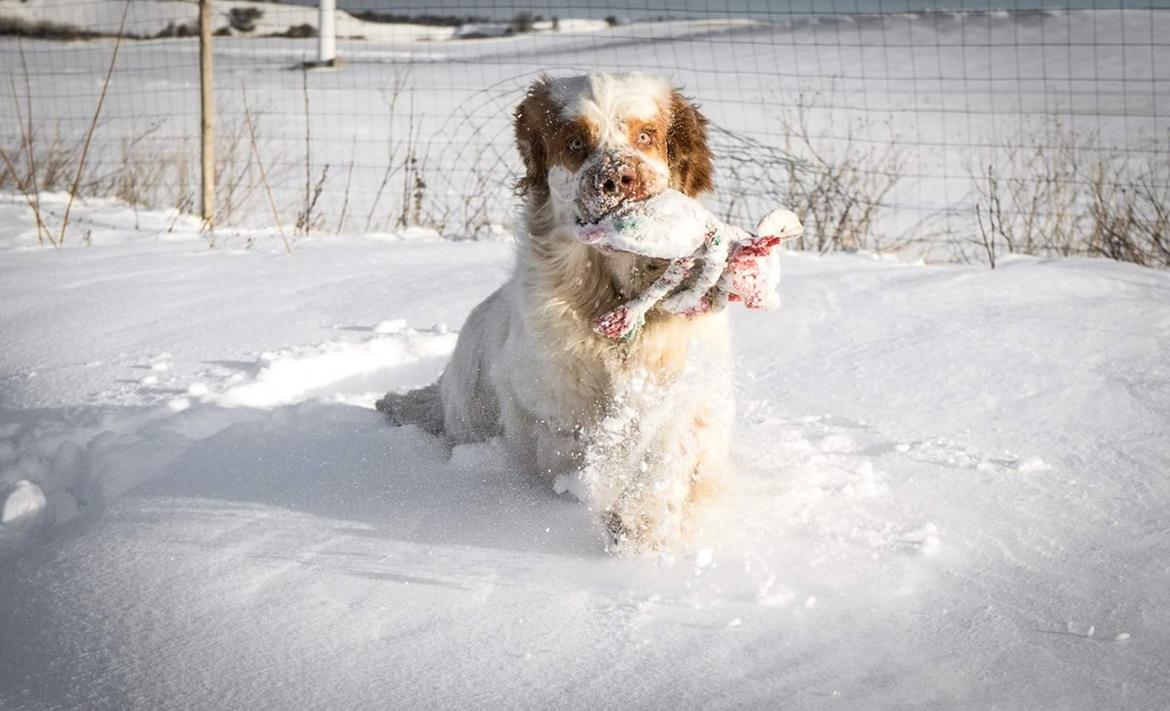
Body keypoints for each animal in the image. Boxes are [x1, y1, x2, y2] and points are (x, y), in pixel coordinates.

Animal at [383, 70, 744, 549]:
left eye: (645, 136)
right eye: (574, 143)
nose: (618, 179)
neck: (610, 297)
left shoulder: (686, 383)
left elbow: (671, 438)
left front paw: (642, 518)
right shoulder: (547, 409)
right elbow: (574, 450)